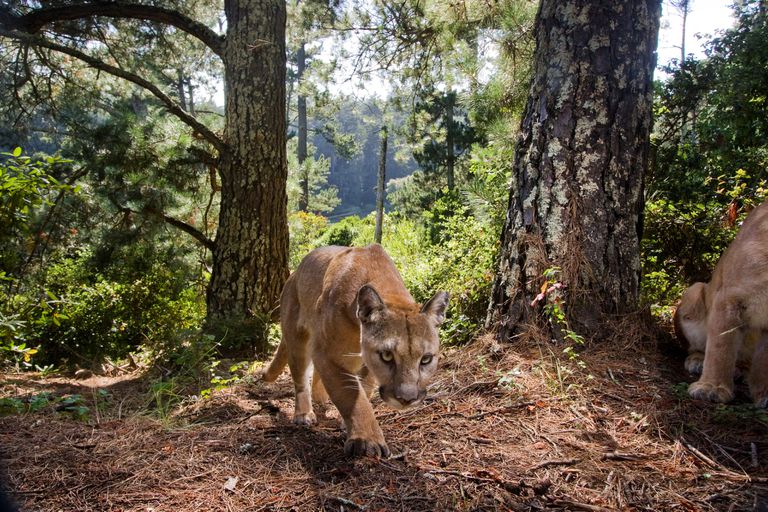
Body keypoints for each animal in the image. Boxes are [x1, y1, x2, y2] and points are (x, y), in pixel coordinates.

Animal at [262, 244, 450, 456]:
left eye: (426, 359)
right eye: (387, 356)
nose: (406, 399)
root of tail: (292, 276)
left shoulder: (360, 360)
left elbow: (364, 388)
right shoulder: (328, 353)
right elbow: (351, 394)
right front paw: (367, 439)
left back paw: (321, 398)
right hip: (297, 339)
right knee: (301, 379)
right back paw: (303, 413)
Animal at [676, 202, 768, 406]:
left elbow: (764, 360)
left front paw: (764, 394)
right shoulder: (729, 298)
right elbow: (721, 346)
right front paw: (711, 388)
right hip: (694, 290)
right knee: (695, 348)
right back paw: (698, 362)